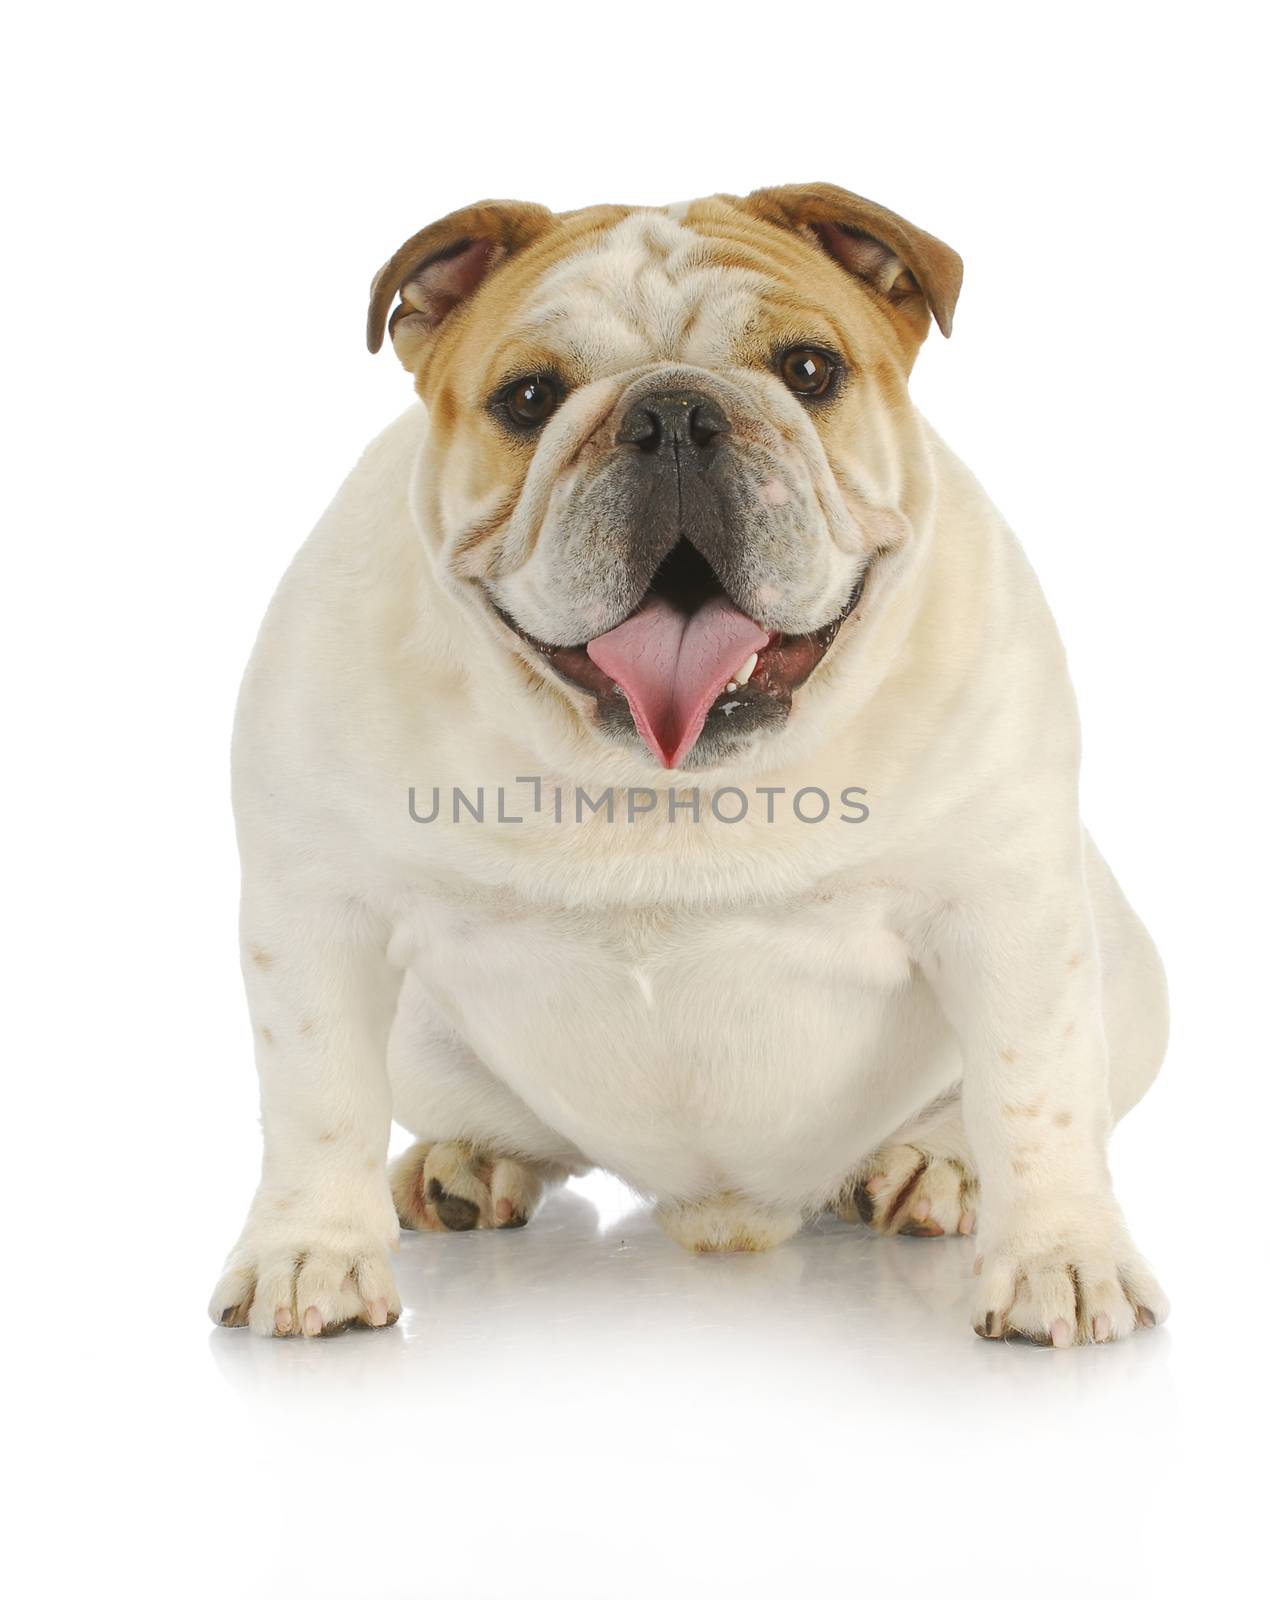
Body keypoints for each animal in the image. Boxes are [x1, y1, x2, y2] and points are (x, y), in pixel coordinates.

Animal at [209, 181, 1170, 1344]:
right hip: (424, 1045)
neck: (662, 783)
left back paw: (932, 1167)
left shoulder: (1010, 911)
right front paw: (310, 1252)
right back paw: (470, 1162)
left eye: (810, 370)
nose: (672, 415)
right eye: (527, 398)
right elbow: (318, 1094)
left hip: (1127, 975)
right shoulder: (319, 913)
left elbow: (1036, 1091)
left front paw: (1058, 1259)